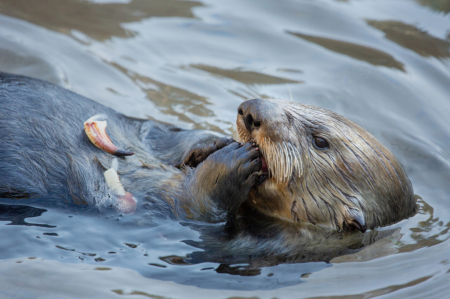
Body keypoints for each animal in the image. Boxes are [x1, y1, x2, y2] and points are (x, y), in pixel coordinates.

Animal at [0, 71, 416, 262]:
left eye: (320, 141)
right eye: (292, 105)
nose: (251, 111)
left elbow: (195, 209)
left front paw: (233, 164)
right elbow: (167, 138)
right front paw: (215, 146)